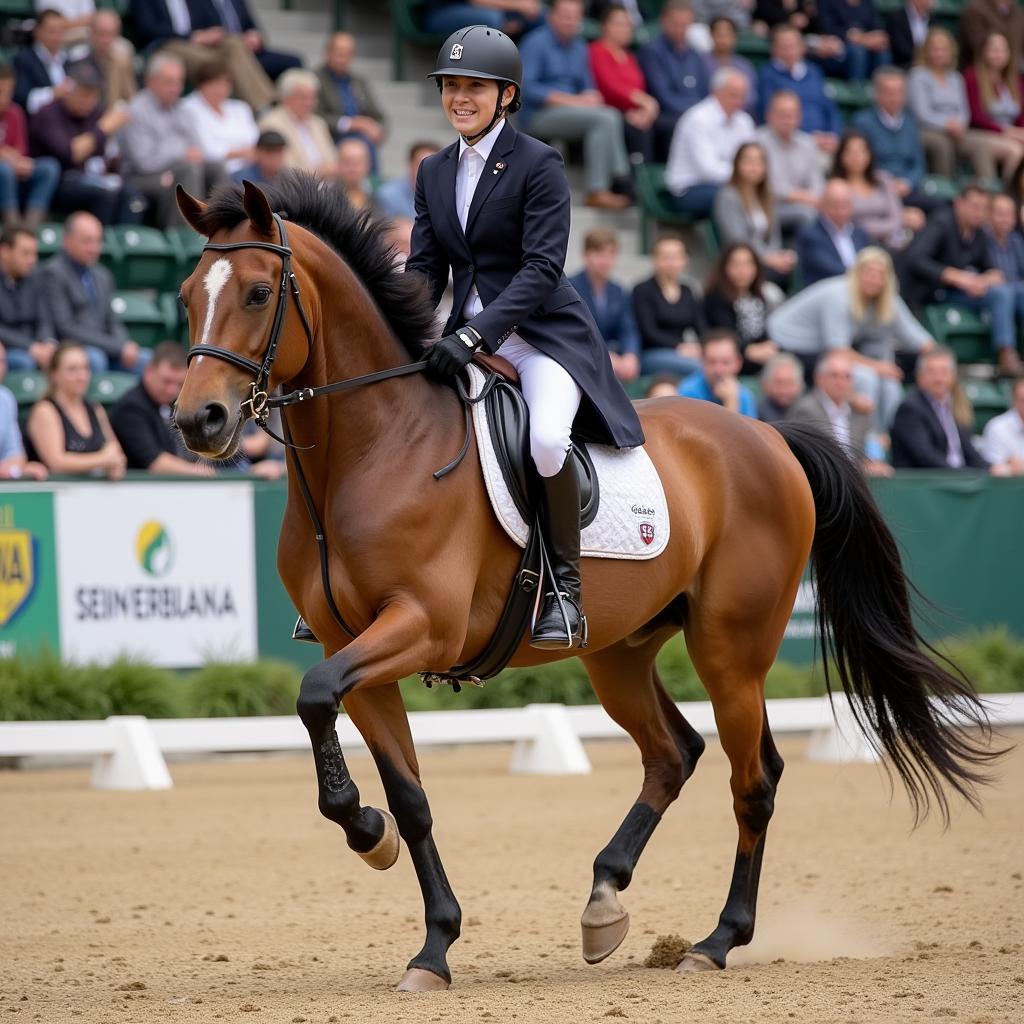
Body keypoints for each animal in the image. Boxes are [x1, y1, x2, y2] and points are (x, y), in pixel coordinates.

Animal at [172, 174, 995, 991]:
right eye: (184, 296)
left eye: (257, 293)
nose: (196, 421)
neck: (370, 450)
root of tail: (767, 434)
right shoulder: (351, 648)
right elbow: (404, 789)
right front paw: (425, 930)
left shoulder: (421, 626)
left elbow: (316, 700)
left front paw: (367, 835)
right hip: (618, 652)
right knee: (674, 753)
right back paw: (605, 899)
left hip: (730, 651)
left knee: (752, 778)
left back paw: (717, 940)